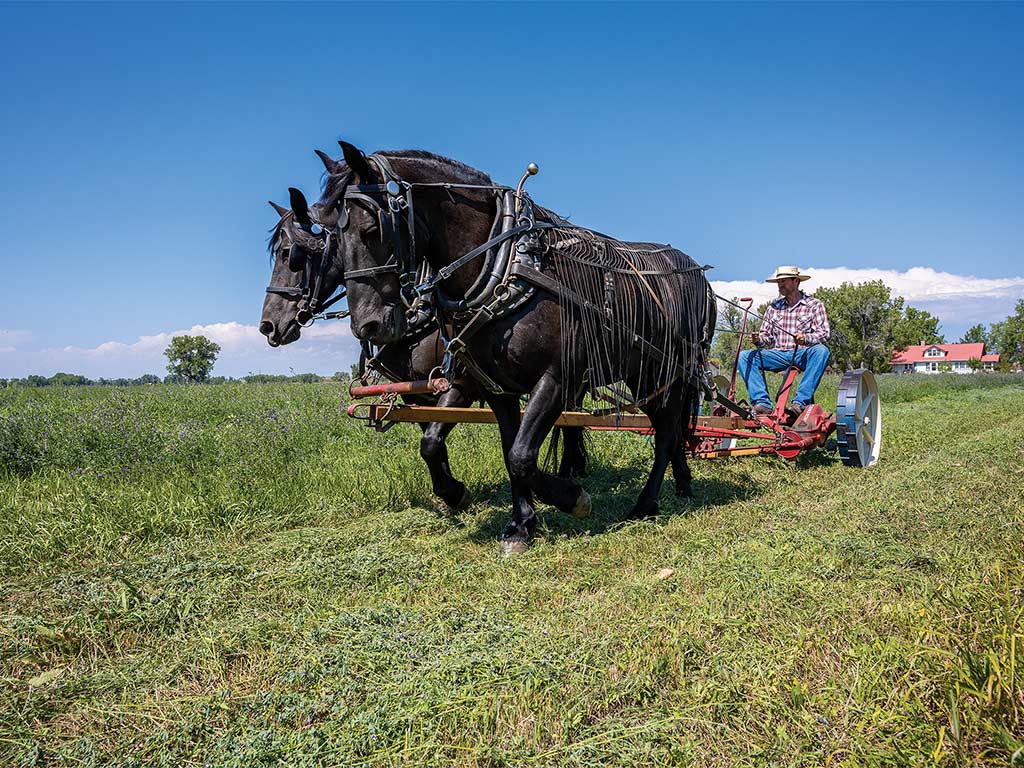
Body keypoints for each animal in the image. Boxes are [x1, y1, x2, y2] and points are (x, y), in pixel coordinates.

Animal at [276, 143, 716, 552]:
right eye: (333, 237)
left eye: (372, 229)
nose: (369, 324)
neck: (508, 268)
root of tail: (698, 274)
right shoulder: (493, 387)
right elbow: (496, 451)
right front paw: (518, 523)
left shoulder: (554, 380)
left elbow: (521, 455)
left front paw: (572, 499)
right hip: (645, 375)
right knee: (669, 430)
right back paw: (677, 483)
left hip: (667, 373)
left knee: (666, 433)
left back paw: (646, 502)